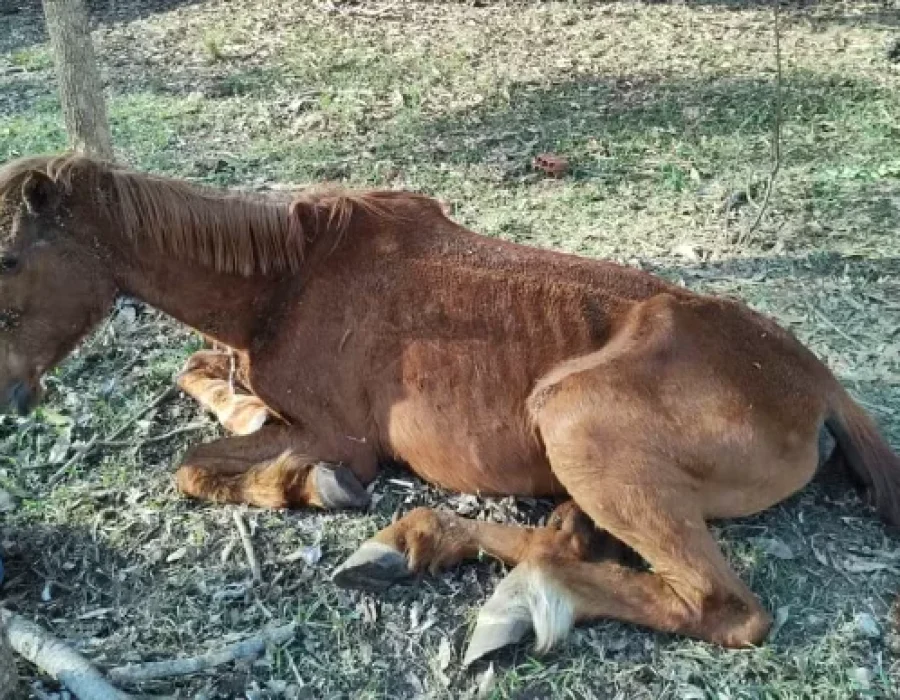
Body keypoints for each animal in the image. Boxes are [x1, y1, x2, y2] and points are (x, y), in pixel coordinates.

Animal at [1, 153, 898, 666]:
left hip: (573, 419)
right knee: (569, 533)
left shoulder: (343, 436)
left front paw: (312, 486)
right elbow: (203, 376)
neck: (287, 281)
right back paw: (434, 558)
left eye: (9, 258)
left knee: (720, 609)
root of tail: (816, 382)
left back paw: (497, 592)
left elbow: (197, 467)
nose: (9, 392)